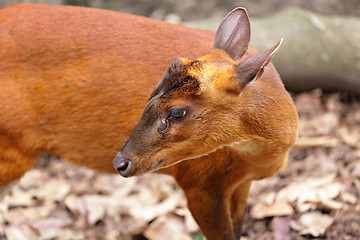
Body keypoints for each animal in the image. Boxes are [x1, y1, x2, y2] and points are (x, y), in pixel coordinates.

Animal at [0, 2, 298, 239]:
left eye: (176, 112)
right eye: (151, 94)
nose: (120, 163)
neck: (259, 159)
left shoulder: (240, 184)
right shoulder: (200, 183)